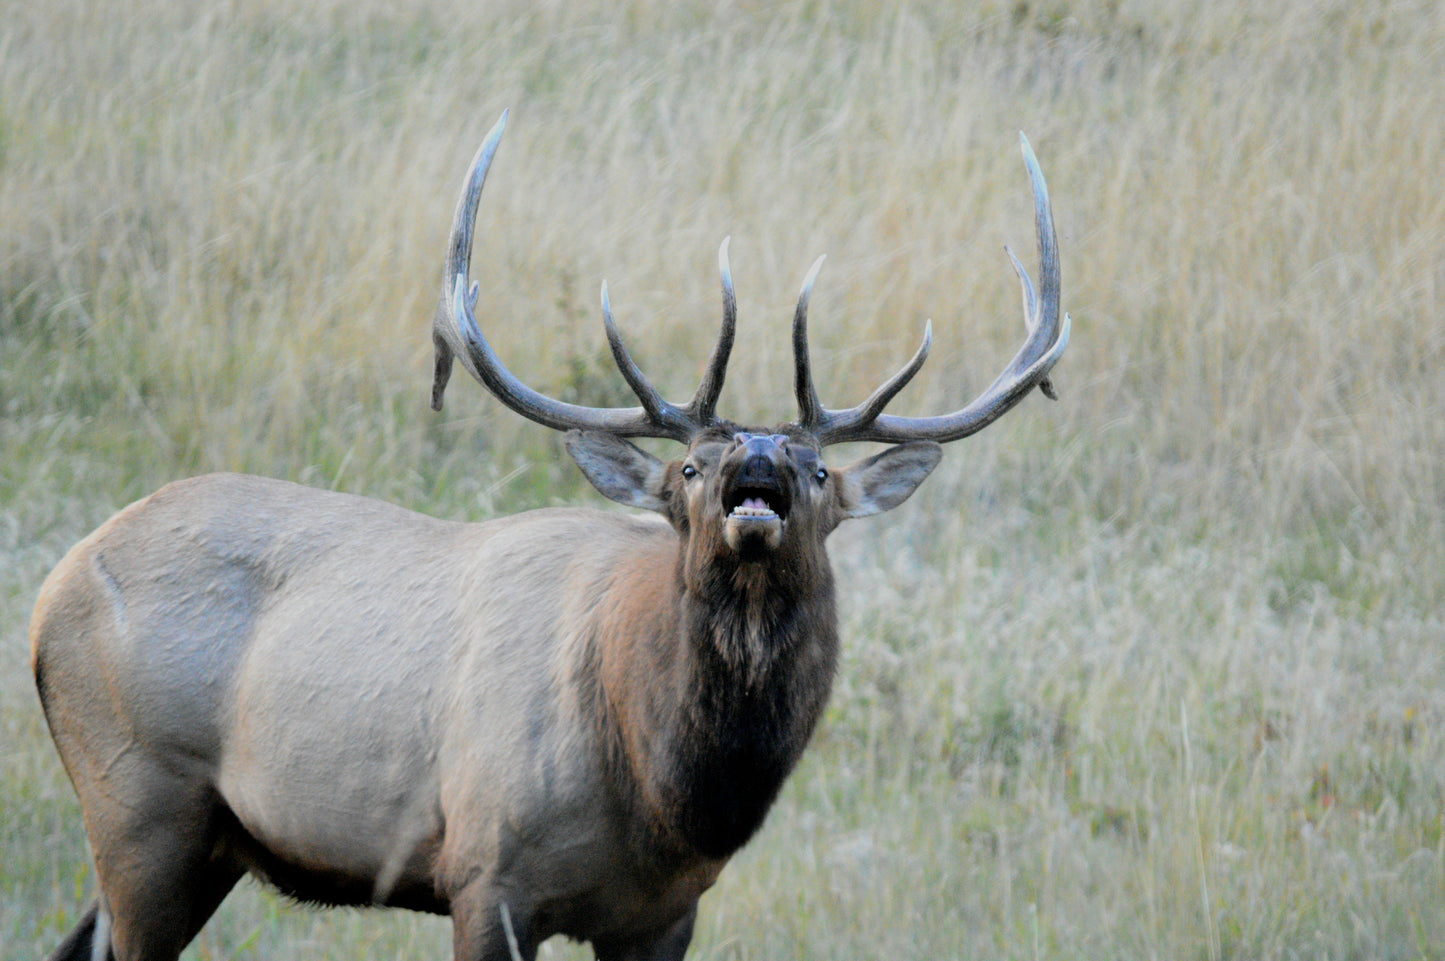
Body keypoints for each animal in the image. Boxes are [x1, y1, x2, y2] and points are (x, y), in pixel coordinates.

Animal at [30, 110, 1068, 961]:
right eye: (688, 470)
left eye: (819, 473)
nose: (759, 457)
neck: (661, 790)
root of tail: (48, 594)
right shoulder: (485, 874)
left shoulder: (665, 912)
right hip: (138, 800)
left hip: (203, 840)